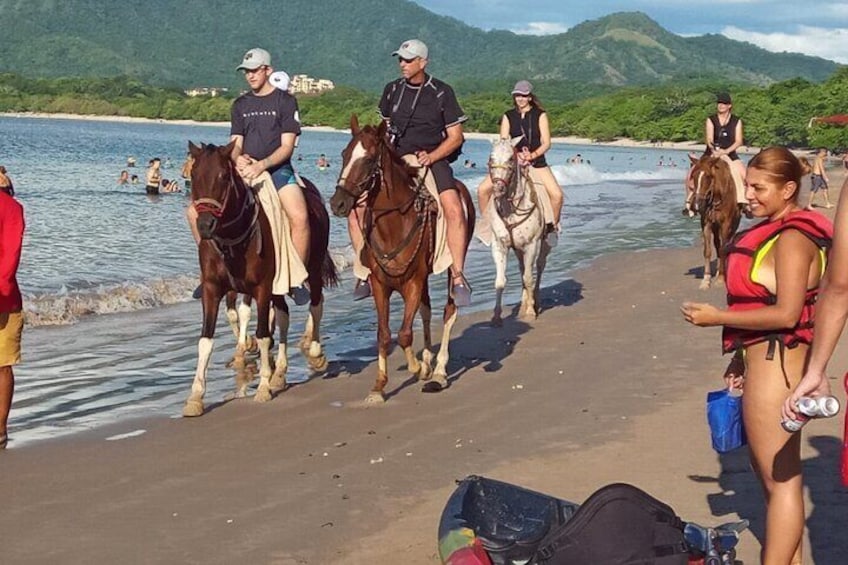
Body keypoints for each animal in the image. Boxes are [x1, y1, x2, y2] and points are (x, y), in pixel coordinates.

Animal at [186, 140, 338, 414]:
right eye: (194, 175)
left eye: (224, 176)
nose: (205, 225)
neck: (231, 239)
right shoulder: (213, 289)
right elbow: (205, 340)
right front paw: (195, 397)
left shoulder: (262, 288)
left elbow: (263, 334)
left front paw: (264, 387)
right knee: (283, 315)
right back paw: (280, 372)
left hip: (311, 268)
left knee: (316, 304)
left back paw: (315, 353)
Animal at [330, 117, 476, 404]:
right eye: (343, 154)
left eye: (368, 159)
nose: (337, 203)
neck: (393, 221)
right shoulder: (380, 285)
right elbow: (385, 334)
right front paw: (379, 386)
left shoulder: (413, 282)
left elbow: (405, 334)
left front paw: (417, 368)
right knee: (427, 311)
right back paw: (430, 362)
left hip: (451, 261)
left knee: (449, 310)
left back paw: (439, 372)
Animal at [484, 137, 548, 324]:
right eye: (491, 158)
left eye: (511, 159)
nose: (498, 189)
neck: (511, 209)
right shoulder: (499, 245)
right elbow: (500, 281)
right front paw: (496, 316)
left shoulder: (531, 245)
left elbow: (529, 277)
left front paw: (531, 312)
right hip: (518, 249)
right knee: (522, 269)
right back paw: (523, 305)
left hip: (546, 242)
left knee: (539, 266)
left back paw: (535, 302)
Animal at [688, 153, 744, 288]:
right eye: (693, 176)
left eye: (708, 176)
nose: (697, 205)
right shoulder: (706, 223)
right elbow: (707, 250)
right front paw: (706, 279)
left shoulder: (726, 224)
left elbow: (724, 248)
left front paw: (721, 278)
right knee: (717, 244)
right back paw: (719, 269)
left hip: (734, 223)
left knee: (727, 242)